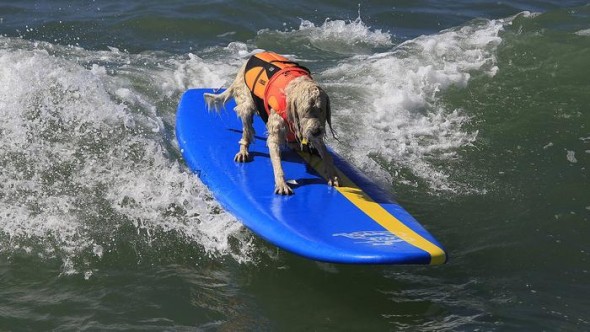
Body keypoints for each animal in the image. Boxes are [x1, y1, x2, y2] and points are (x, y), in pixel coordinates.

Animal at [205, 51, 340, 195]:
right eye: (306, 110)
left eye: (321, 109)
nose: (316, 131)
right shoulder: (278, 130)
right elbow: (276, 159)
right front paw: (281, 183)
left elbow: (325, 153)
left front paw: (332, 174)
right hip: (246, 104)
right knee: (247, 131)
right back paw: (243, 150)